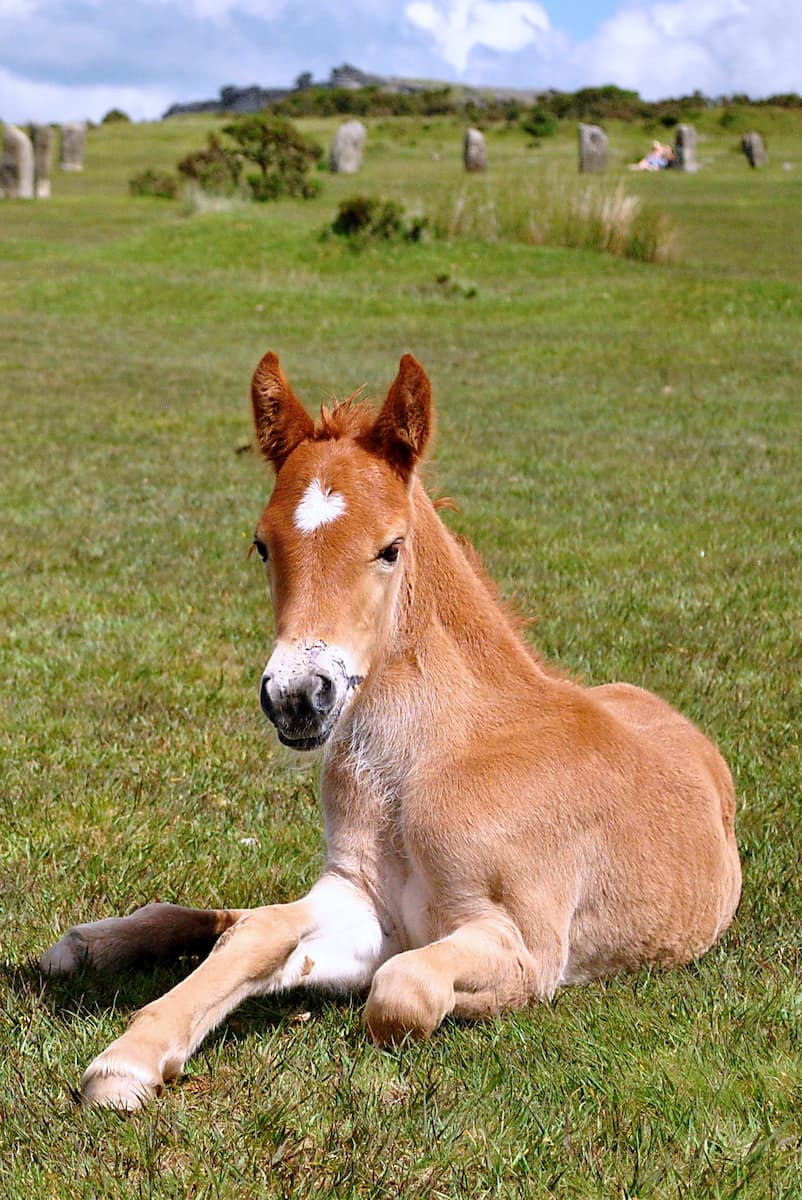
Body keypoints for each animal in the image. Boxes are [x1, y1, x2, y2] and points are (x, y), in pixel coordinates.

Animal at [40, 350, 744, 1108]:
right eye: (261, 546)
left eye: (389, 549)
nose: (297, 697)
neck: (425, 762)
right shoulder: (361, 900)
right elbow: (262, 932)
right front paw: (129, 1058)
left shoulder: (527, 947)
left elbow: (397, 988)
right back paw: (89, 944)